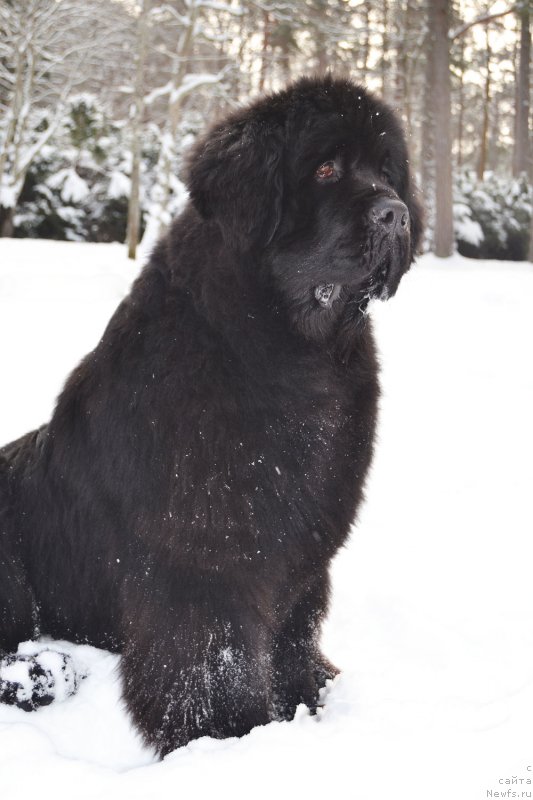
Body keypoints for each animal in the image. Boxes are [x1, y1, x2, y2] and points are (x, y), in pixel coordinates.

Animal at [2, 76, 422, 756]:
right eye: (325, 169)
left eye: (388, 173)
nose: (395, 214)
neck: (289, 353)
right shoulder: (202, 564)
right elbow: (210, 658)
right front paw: (228, 735)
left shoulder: (305, 550)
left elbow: (294, 633)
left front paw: (310, 695)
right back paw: (42, 672)